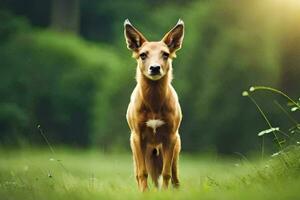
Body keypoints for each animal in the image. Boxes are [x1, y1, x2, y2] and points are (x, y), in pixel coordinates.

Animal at [123, 19, 184, 191]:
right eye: (143, 55)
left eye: (166, 54)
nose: (155, 68)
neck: (154, 105)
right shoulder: (136, 135)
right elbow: (142, 174)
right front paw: (144, 193)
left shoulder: (171, 135)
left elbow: (166, 173)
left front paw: (164, 193)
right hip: (140, 152)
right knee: (139, 173)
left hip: (176, 148)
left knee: (175, 178)